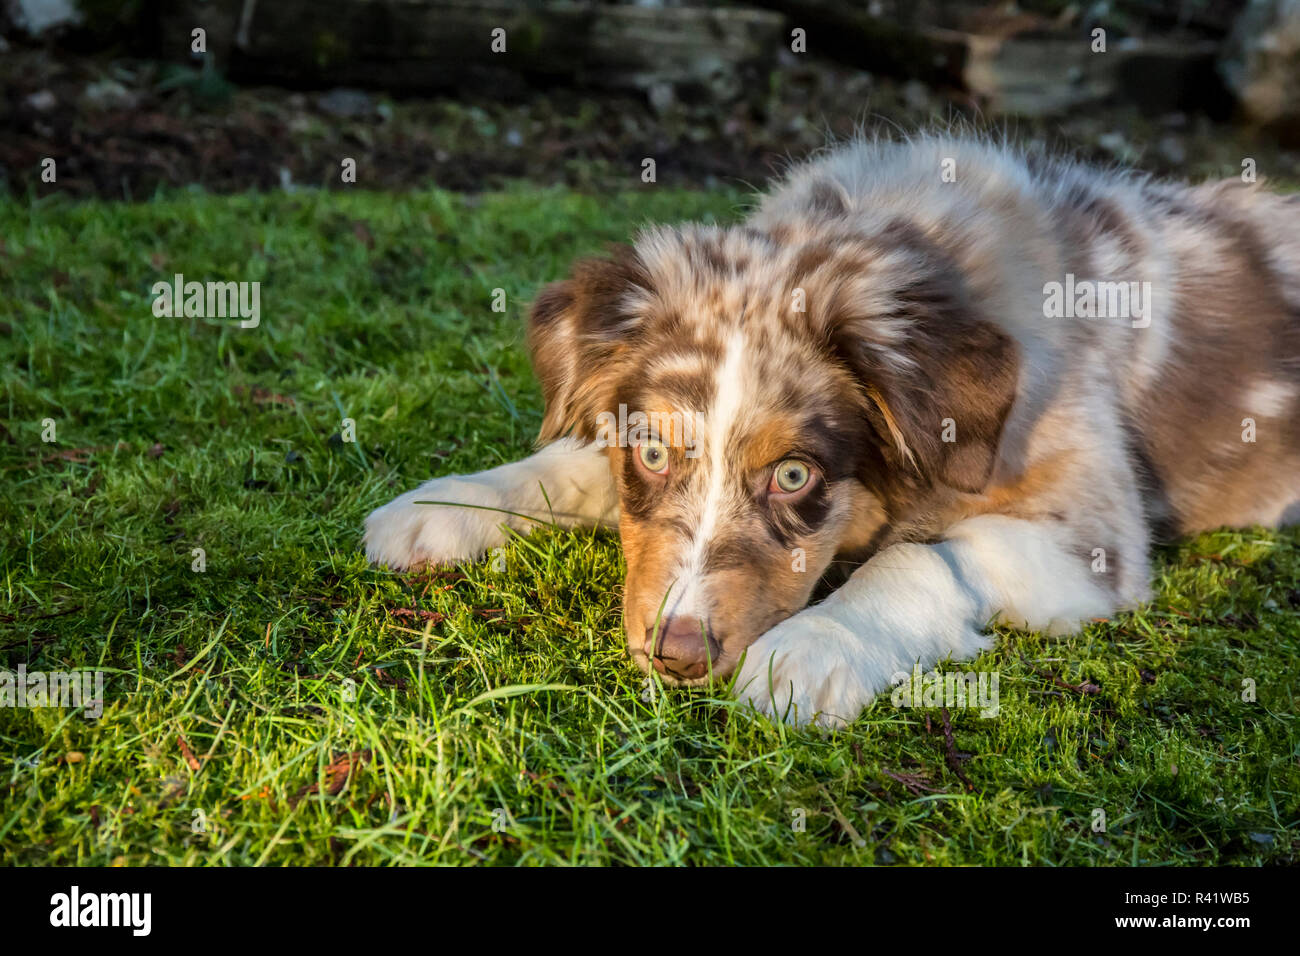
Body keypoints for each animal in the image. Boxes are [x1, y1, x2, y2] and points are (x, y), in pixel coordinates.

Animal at [358, 134, 1300, 728]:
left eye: (795, 476)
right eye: (654, 450)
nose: (678, 656)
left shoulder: (1097, 537)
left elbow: (918, 554)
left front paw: (811, 648)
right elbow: (569, 463)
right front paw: (444, 507)